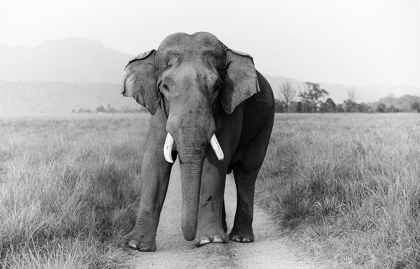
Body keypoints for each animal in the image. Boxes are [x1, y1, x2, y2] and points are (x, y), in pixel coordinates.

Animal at [120, 31, 276, 251]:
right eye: (165, 87)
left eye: (217, 87)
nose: (189, 238)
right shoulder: (159, 109)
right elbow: (154, 162)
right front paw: (136, 245)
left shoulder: (231, 107)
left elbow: (215, 163)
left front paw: (209, 240)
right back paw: (225, 232)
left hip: (267, 120)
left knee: (246, 171)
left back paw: (240, 238)